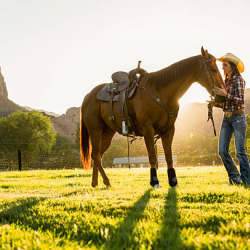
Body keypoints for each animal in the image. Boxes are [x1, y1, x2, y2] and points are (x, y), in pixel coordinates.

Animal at [80, 47, 225, 188]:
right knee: (96, 155)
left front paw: (173, 181)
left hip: (107, 133)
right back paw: (106, 181)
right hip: (95, 130)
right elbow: (152, 157)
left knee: (97, 155)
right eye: (213, 69)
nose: (222, 94)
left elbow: (169, 157)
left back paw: (95, 182)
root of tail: (88, 95)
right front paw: (154, 181)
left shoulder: (169, 130)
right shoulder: (148, 129)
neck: (160, 93)